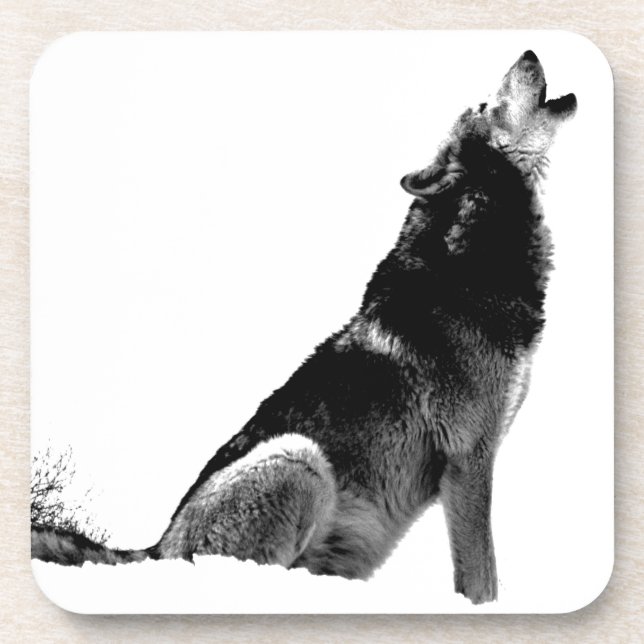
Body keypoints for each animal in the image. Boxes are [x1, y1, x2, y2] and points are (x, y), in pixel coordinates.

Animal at [32, 50, 576, 604]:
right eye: (485, 105)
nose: (529, 53)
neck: (472, 259)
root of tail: (157, 548)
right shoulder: (469, 459)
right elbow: (483, 577)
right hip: (299, 458)